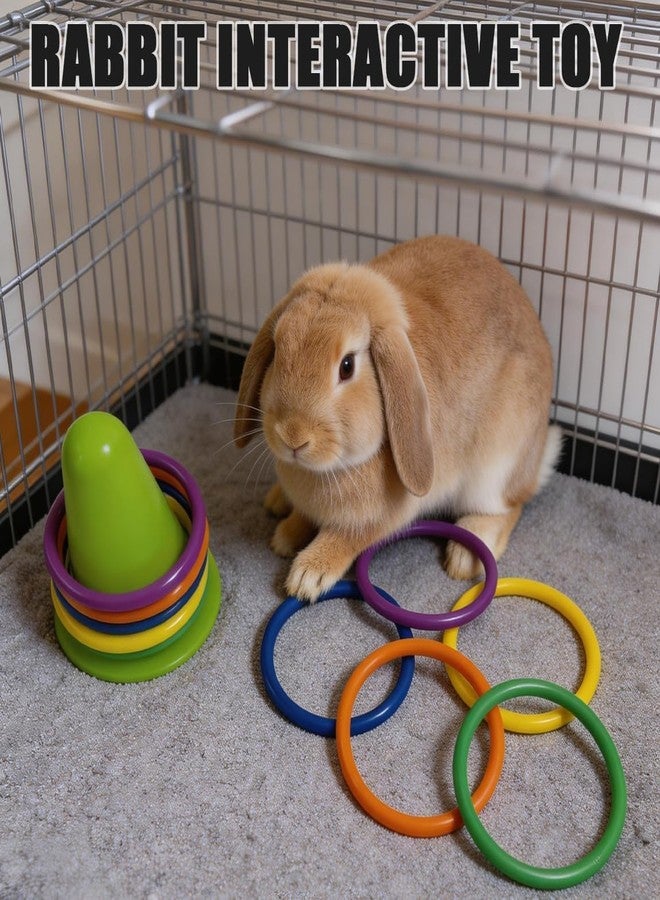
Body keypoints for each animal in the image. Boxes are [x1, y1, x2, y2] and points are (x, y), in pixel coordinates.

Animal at [234, 235, 562, 601]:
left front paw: (308, 575)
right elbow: (303, 517)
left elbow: (349, 536)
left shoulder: (384, 515)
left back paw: (466, 554)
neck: (329, 469)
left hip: (496, 465)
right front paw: (284, 537)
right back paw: (277, 500)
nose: (293, 436)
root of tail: (535, 461)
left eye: (347, 366)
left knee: (509, 507)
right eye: (277, 348)